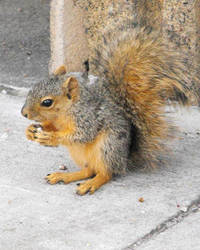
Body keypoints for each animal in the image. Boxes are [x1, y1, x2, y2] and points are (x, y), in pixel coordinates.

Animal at [21, 23, 196, 195]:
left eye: (47, 102)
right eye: (33, 87)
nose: (24, 113)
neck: (64, 113)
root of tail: (124, 160)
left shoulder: (88, 117)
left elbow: (82, 135)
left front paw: (51, 138)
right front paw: (31, 131)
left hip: (107, 147)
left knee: (105, 173)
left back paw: (91, 184)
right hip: (80, 155)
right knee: (89, 170)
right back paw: (64, 176)